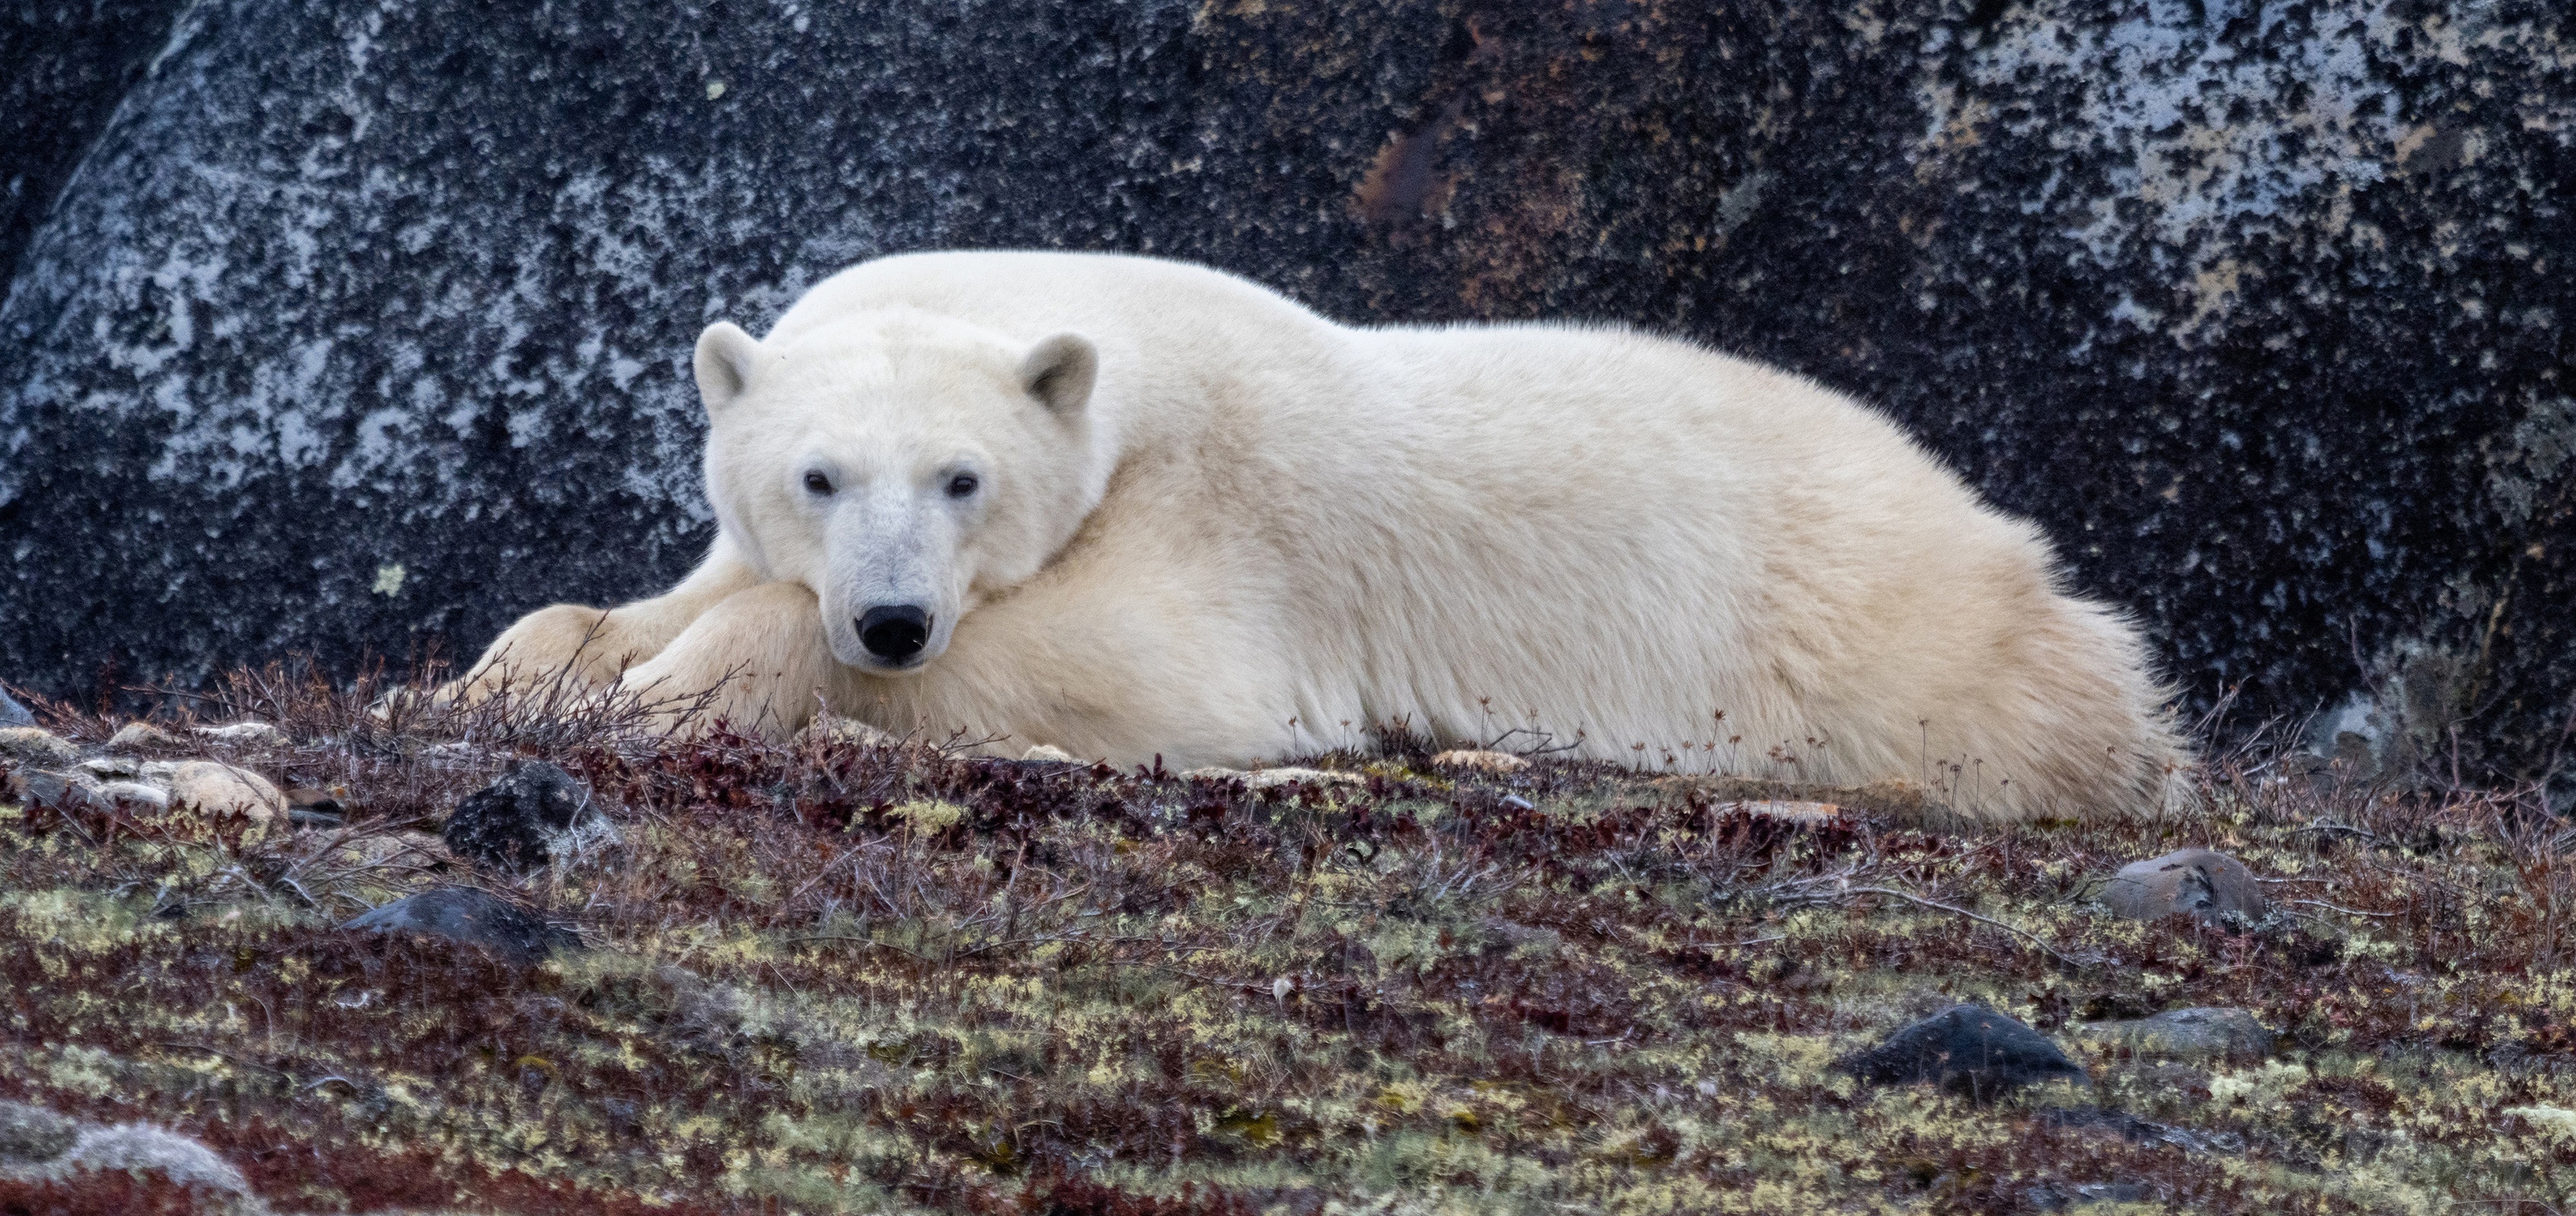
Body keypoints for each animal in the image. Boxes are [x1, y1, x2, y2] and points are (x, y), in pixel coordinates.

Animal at [453, 249, 2184, 819]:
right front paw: (510, 672)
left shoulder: (1219, 511)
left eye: (962, 479)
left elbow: (1155, 670)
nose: (888, 620)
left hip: (1874, 633)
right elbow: (628, 602)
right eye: (815, 476)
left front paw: (688, 683)